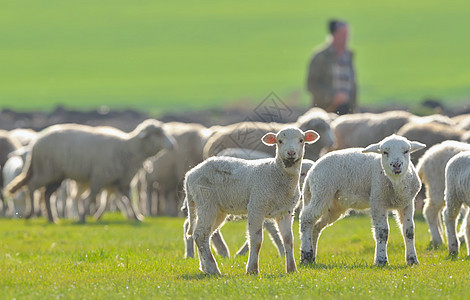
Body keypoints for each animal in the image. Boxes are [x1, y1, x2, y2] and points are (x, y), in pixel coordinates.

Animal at [6, 119, 175, 223]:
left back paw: (52, 218)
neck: (129, 149)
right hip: (46, 170)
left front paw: (137, 216)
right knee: (32, 187)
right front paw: (82, 217)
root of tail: (35, 143)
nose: (173, 145)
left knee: (46, 194)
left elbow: (127, 199)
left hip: (56, 175)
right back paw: (30, 214)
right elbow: (91, 196)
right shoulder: (99, 177)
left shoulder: (121, 181)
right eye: (157, 133)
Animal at [184, 126, 320, 274]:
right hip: (206, 201)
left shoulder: (286, 211)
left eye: (301, 140)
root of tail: (190, 175)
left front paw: (291, 269)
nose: (291, 153)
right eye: (279, 141)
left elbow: (288, 239)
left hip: (218, 210)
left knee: (203, 235)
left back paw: (205, 268)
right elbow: (256, 239)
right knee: (200, 234)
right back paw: (213, 269)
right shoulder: (256, 205)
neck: (275, 173)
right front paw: (252, 269)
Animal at [302, 135, 426, 266]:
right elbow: (382, 232)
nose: (396, 165)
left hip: (334, 206)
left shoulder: (407, 203)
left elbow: (409, 231)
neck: (397, 184)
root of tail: (311, 172)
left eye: (406, 151)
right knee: (306, 218)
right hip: (321, 192)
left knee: (316, 226)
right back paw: (305, 256)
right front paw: (381, 260)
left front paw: (412, 260)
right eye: (385, 152)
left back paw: (312, 257)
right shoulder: (377, 201)